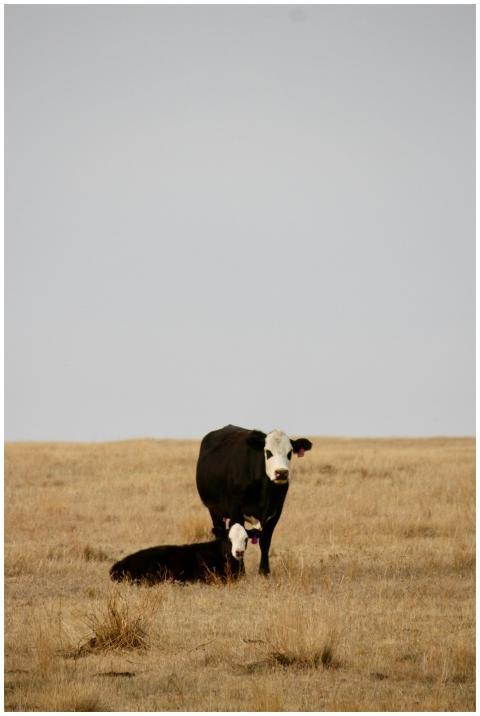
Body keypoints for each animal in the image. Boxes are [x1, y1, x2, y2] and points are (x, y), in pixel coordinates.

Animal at [195, 424, 312, 575]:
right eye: (268, 452)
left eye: (290, 452)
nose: (281, 473)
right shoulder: (235, 509)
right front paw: (241, 571)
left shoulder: (276, 512)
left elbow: (265, 541)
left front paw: (264, 571)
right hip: (214, 510)